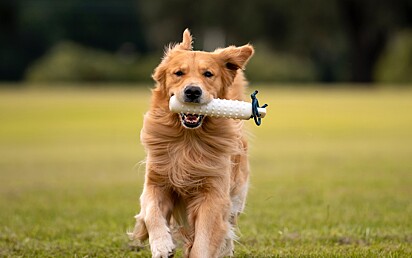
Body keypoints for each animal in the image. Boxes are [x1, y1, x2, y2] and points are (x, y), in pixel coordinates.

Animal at [130, 29, 254, 256]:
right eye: (179, 73)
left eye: (208, 74)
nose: (193, 91)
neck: (188, 141)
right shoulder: (156, 181)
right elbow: (151, 213)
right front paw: (162, 245)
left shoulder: (214, 194)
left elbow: (203, 240)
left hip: (236, 194)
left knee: (229, 225)